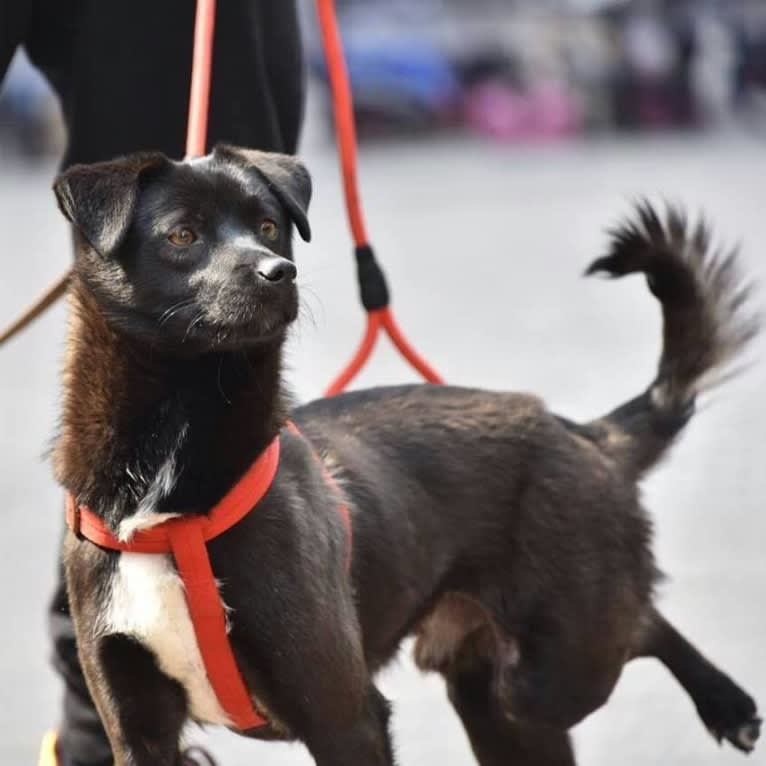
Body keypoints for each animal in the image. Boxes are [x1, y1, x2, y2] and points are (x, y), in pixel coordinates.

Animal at [52, 146, 760, 766]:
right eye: (182, 235)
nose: (279, 272)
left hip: (549, 673)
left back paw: (726, 701)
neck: (171, 491)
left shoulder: (345, 716)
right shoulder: (138, 732)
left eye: (268, 226)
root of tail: (580, 432)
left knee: (641, 622)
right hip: (498, 702)